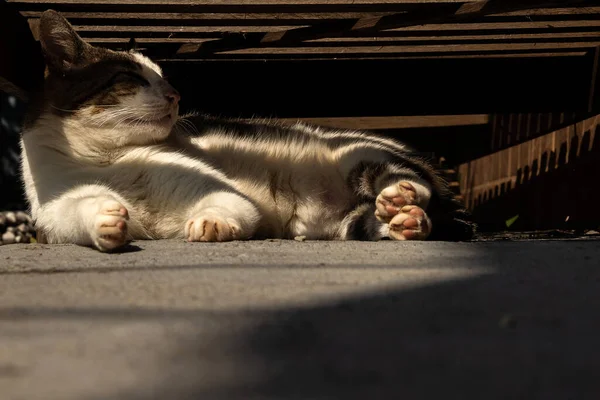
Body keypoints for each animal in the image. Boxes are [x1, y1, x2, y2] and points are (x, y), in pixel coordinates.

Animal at [21, 9, 476, 252]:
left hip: (361, 157)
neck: (108, 160)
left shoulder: (222, 192)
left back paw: (403, 198)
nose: (175, 94)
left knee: (407, 181)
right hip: (344, 225)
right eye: (131, 78)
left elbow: (224, 205)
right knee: (384, 223)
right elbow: (79, 215)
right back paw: (406, 222)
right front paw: (105, 219)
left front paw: (212, 222)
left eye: (163, 76)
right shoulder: (54, 213)